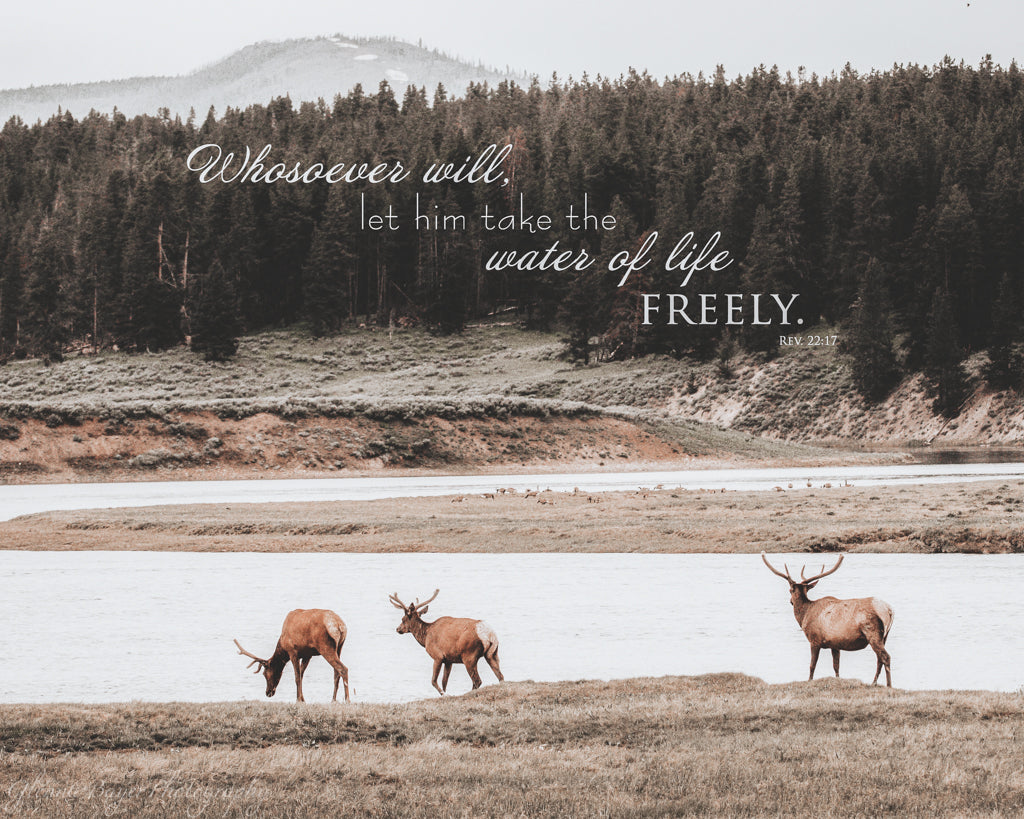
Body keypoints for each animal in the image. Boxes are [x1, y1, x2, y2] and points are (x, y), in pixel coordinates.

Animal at [761, 552, 894, 687]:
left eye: (789, 590)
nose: (791, 601)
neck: (804, 616)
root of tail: (889, 610)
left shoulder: (814, 640)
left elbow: (812, 665)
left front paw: (809, 680)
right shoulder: (835, 644)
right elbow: (836, 666)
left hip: (872, 631)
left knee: (885, 657)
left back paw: (889, 685)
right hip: (885, 636)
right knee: (879, 659)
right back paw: (874, 682)